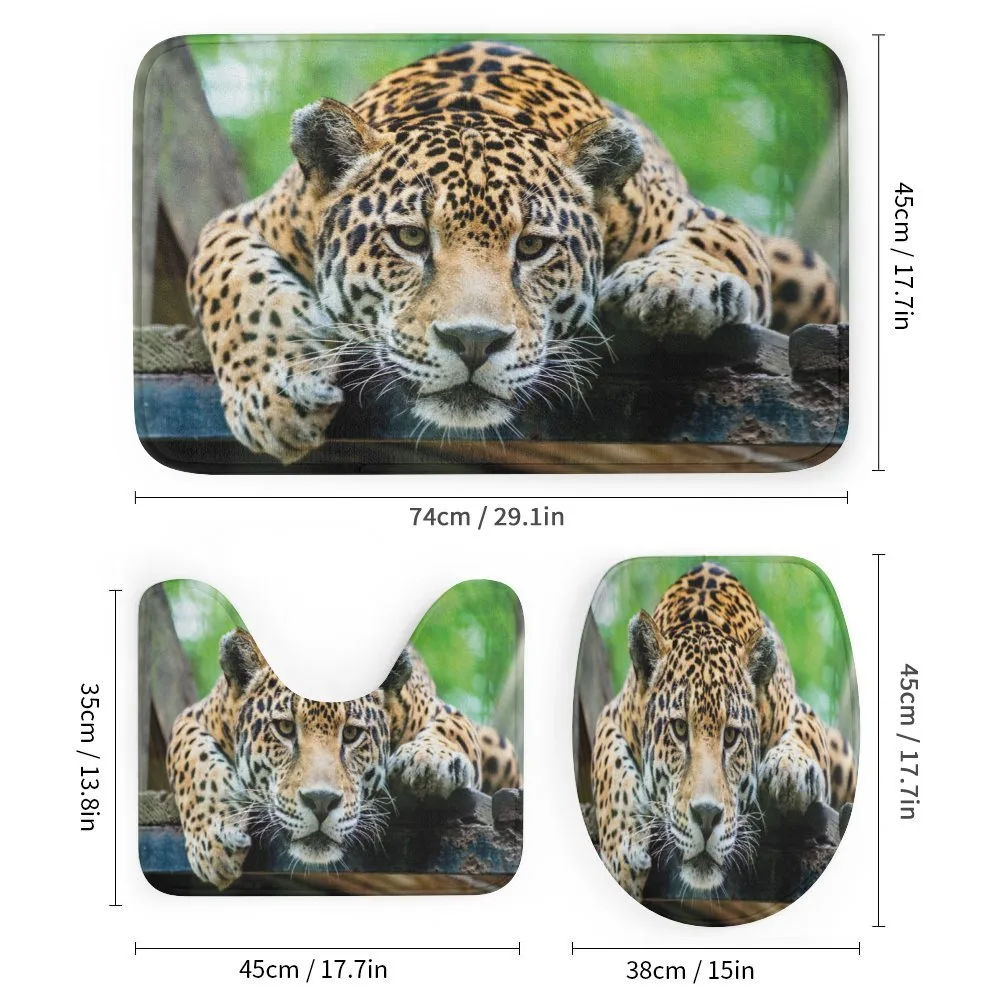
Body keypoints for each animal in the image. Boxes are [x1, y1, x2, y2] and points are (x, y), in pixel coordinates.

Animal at [166, 629, 520, 890]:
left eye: (351, 734)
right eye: (284, 728)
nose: (321, 802)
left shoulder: (442, 711)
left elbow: (451, 731)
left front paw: (426, 761)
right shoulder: (193, 717)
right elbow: (191, 762)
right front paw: (213, 842)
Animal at [186, 40, 841, 462]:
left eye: (532, 247)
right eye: (410, 238)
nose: (474, 342)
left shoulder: (700, 217)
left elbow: (716, 243)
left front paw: (672, 286)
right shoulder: (241, 223)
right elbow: (236, 287)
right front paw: (274, 396)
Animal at [590, 562, 856, 901]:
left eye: (730, 736)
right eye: (679, 729)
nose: (706, 817)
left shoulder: (800, 711)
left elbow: (805, 736)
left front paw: (788, 770)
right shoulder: (611, 716)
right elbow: (610, 768)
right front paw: (623, 851)